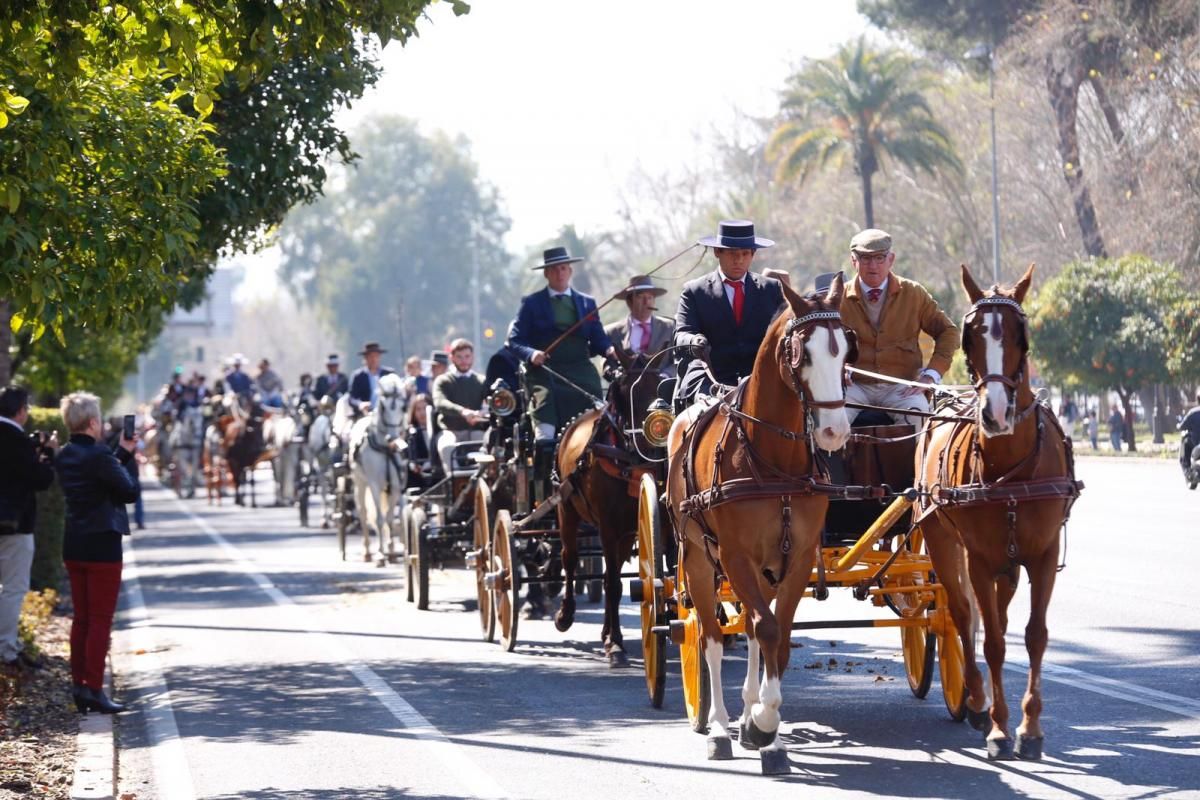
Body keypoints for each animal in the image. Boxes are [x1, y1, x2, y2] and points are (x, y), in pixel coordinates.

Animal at [348, 374, 408, 563]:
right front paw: (381, 554)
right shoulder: (374, 484)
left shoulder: (396, 486)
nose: (393, 439)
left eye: (403, 407)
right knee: (363, 512)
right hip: (360, 482)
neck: (386, 448)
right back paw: (367, 551)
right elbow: (380, 518)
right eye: (383, 406)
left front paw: (391, 550)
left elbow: (389, 517)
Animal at [554, 352, 667, 666]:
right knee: (569, 558)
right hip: (566, 509)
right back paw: (565, 614)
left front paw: (611, 638)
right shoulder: (607, 526)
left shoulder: (630, 526)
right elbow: (614, 584)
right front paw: (615, 644)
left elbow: (613, 582)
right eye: (626, 391)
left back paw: (604, 631)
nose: (651, 446)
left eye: (662, 386)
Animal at [667, 277, 854, 777]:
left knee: (752, 626)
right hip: (699, 559)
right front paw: (761, 723)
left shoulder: (798, 557)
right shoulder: (735, 556)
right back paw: (718, 727)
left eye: (846, 351)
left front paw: (764, 728)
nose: (834, 433)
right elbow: (762, 632)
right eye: (802, 353)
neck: (774, 461)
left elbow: (777, 637)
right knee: (710, 635)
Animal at [912, 263, 1084, 762]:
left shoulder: (1044, 555)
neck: (1012, 468)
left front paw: (1030, 727)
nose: (995, 414)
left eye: (1020, 333)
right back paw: (973, 698)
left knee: (999, 618)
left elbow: (1034, 635)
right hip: (942, 540)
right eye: (970, 335)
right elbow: (988, 640)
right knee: (960, 614)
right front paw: (999, 728)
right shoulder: (980, 559)